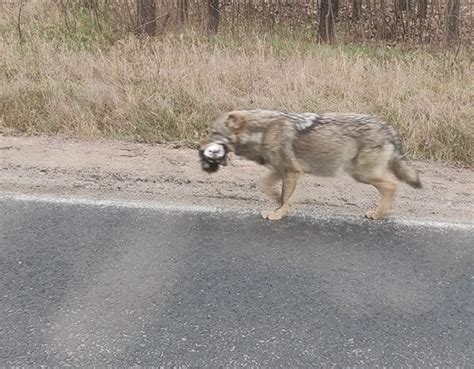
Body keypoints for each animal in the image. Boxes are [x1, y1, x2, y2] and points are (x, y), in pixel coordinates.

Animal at [198, 108, 420, 218]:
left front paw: (278, 214)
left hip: (361, 174)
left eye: (213, 132)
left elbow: (285, 197)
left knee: (392, 185)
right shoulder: (282, 170)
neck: (263, 130)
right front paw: (277, 204)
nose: (199, 147)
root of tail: (389, 129)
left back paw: (378, 214)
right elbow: (267, 187)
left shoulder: (293, 172)